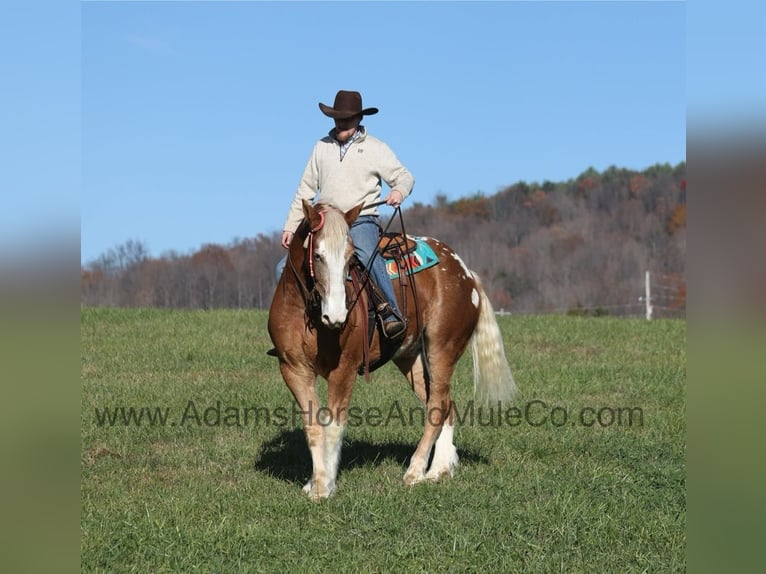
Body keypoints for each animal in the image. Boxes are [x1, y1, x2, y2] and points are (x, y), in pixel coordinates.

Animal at [267, 199, 516, 500]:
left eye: (351, 258)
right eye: (317, 255)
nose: (337, 315)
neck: (309, 314)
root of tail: (466, 273)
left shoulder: (344, 370)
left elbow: (334, 427)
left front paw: (325, 486)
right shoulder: (293, 369)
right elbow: (313, 427)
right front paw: (314, 483)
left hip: (442, 349)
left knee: (436, 406)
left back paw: (417, 471)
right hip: (411, 358)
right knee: (446, 404)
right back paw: (440, 469)